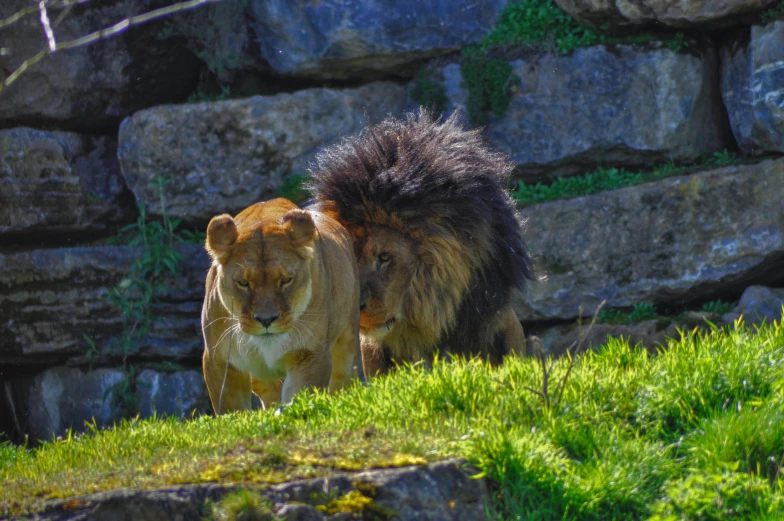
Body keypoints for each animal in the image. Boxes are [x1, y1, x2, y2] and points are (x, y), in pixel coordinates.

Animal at [202, 197, 362, 412]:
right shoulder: (218, 360)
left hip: (348, 341)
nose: (266, 320)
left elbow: (298, 396)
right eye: (243, 283)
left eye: (286, 280)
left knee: (342, 379)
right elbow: (230, 408)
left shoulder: (311, 355)